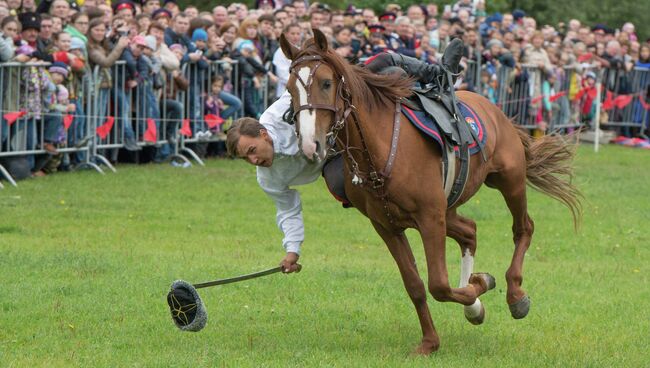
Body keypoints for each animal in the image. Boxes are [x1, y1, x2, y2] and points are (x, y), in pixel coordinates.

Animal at [278, 30, 576, 356]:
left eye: (326, 83)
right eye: (290, 88)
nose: (311, 144)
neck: (382, 149)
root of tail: (497, 110)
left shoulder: (430, 219)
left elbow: (439, 285)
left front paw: (479, 286)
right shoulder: (387, 226)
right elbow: (416, 285)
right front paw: (432, 340)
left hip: (509, 181)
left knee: (523, 228)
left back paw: (515, 295)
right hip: (451, 206)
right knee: (470, 231)